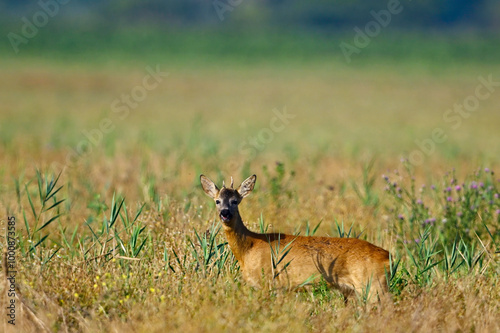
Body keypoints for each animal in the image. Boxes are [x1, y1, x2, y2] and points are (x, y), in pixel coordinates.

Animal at [199, 174, 390, 300]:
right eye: (217, 201)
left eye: (235, 201)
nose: (225, 213)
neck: (249, 247)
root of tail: (387, 255)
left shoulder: (271, 283)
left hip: (373, 286)